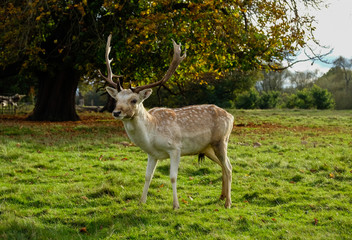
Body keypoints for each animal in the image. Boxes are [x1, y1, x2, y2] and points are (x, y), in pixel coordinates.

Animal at [99, 33, 234, 208]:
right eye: (116, 99)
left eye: (134, 100)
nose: (116, 112)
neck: (152, 135)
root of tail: (231, 116)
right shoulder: (152, 154)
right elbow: (147, 176)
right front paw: (141, 202)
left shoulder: (175, 148)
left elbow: (173, 177)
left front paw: (176, 205)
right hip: (208, 148)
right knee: (223, 167)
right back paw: (222, 197)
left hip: (221, 140)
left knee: (229, 167)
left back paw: (228, 203)